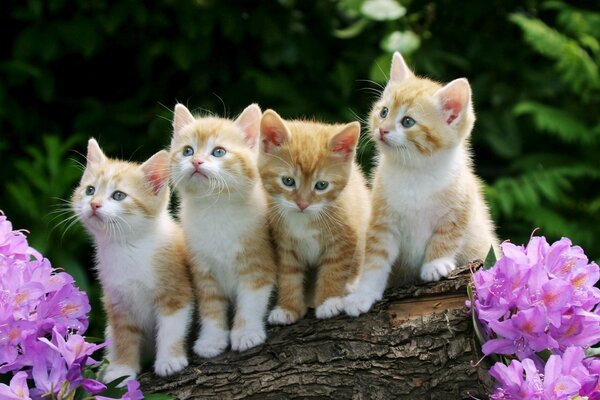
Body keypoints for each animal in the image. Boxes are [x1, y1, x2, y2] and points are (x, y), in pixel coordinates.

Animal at [72, 139, 195, 382]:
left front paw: (170, 360)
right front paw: (121, 370)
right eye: (90, 190)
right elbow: (123, 336)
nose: (94, 204)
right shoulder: (117, 302)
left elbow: (171, 328)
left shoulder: (176, 290)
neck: (128, 248)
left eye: (119, 196)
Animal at [169, 102, 276, 356]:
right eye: (188, 151)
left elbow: (251, 301)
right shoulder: (202, 270)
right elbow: (211, 309)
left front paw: (246, 333)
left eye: (218, 152)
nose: (196, 161)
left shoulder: (258, 262)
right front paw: (211, 340)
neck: (215, 208)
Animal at [258, 110, 370, 324]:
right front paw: (288, 308)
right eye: (288, 181)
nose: (302, 204)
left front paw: (329, 302)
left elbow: (334, 270)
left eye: (321, 185)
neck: (304, 220)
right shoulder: (284, 245)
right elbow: (288, 275)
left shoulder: (344, 239)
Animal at [344, 52, 500, 316]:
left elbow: (448, 234)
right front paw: (363, 294)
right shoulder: (382, 220)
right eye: (384, 112)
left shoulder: (462, 203)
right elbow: (375, 259)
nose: (382, 130)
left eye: (408, 122)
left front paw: (436, 264)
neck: (414, 173)